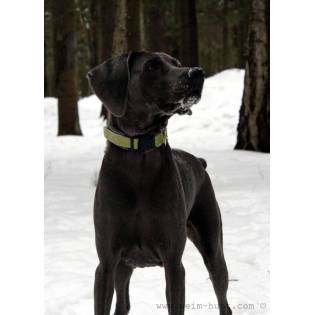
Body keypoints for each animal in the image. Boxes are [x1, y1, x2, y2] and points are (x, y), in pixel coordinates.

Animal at [87, 51, 231, 315]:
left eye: (177, 63)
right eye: (152, 66)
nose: (197, 72)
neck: (139, 151)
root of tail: (199, 161)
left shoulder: (173, 263)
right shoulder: (106, 263)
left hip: (213, 248)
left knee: (223, 300)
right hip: (123, 267)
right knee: (123, 305)